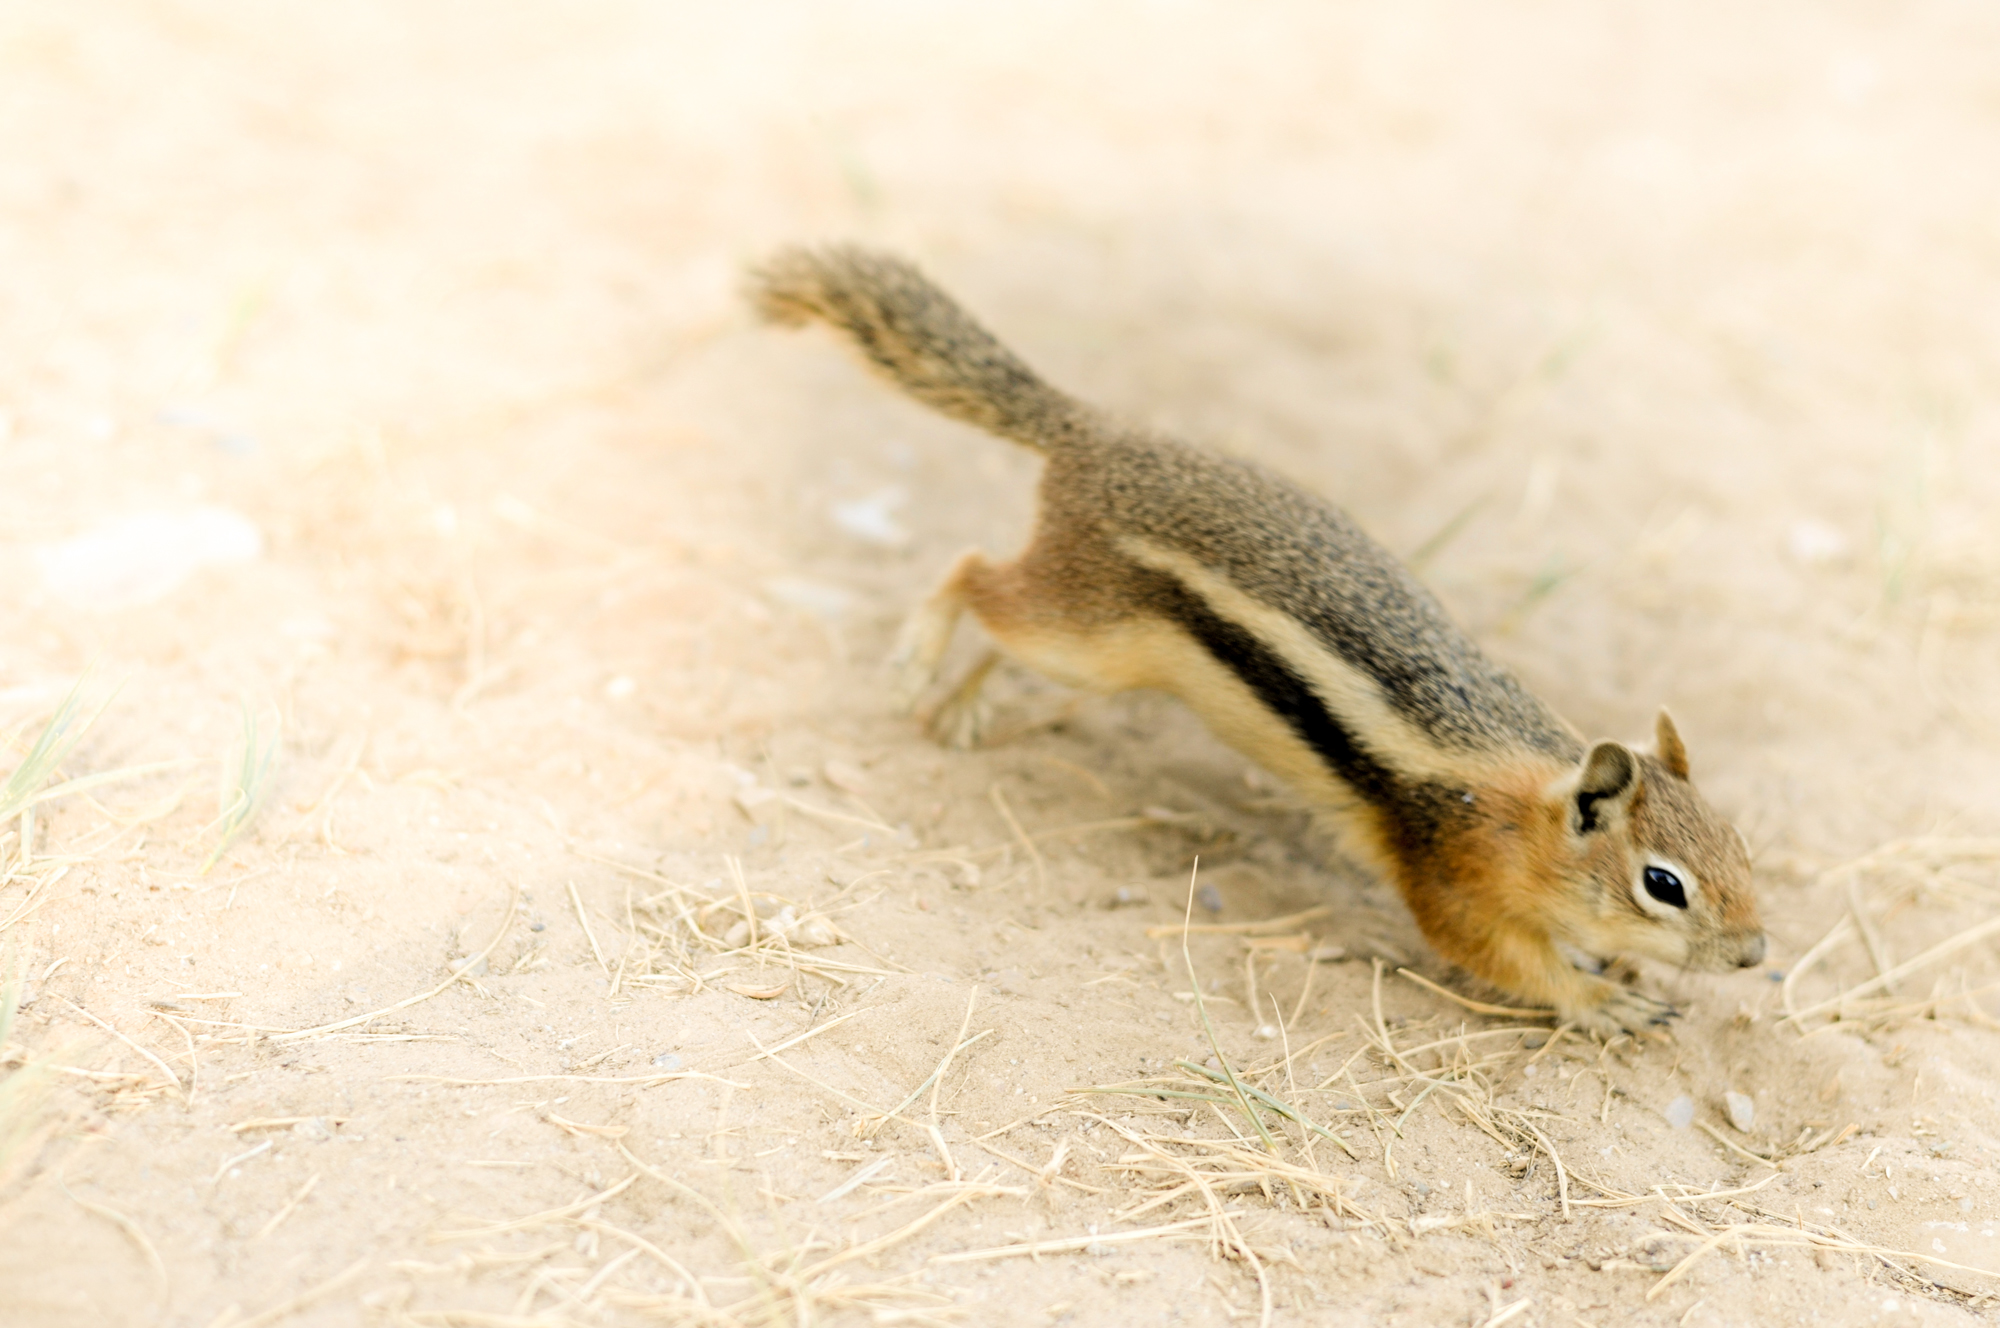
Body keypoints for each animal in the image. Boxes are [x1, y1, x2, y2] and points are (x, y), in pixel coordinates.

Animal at [752, 244, 1768, 1032]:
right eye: (1664, 884)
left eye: (1741, 848)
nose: (1757, 953)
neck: (1529, 820)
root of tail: (1094, 434)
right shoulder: (1450, 876)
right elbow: (1497, 957)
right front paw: (1601, 1002)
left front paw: (1608, 971)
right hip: (1086, 634)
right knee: (970, 574)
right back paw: (913, 662)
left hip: (1080, 634)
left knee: (998, 615)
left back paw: (961, 705)